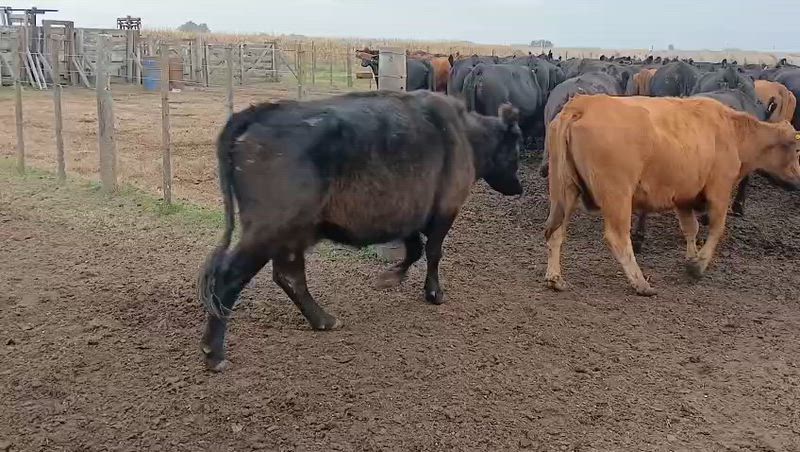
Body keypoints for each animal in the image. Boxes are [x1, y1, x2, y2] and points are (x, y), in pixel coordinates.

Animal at [197, 91, 523, 371]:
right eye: (516, 150)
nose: (518, 189)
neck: (466, 134)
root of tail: (259, 112)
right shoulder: (445, 210)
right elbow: (432, 251)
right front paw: (434, 293)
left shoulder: (407, 215)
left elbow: (415, 249)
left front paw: (389, 277)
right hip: (268, 231)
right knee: (230, 277)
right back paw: (215, 354)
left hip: (291, 235)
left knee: (289, 276)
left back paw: (324, 320)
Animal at [544, 94, 800, 296]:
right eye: (797, 149)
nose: (799, 179)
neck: (732, 131)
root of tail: (582, 104)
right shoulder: (720, 190)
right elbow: (717, 229)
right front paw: (698, 266)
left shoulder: (684, 198)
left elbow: (691, 229)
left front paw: (691, 258)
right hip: (617, 195)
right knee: (618, 238)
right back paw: (641, 283)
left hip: (563, 191)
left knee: (556, 232)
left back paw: (555, 278)